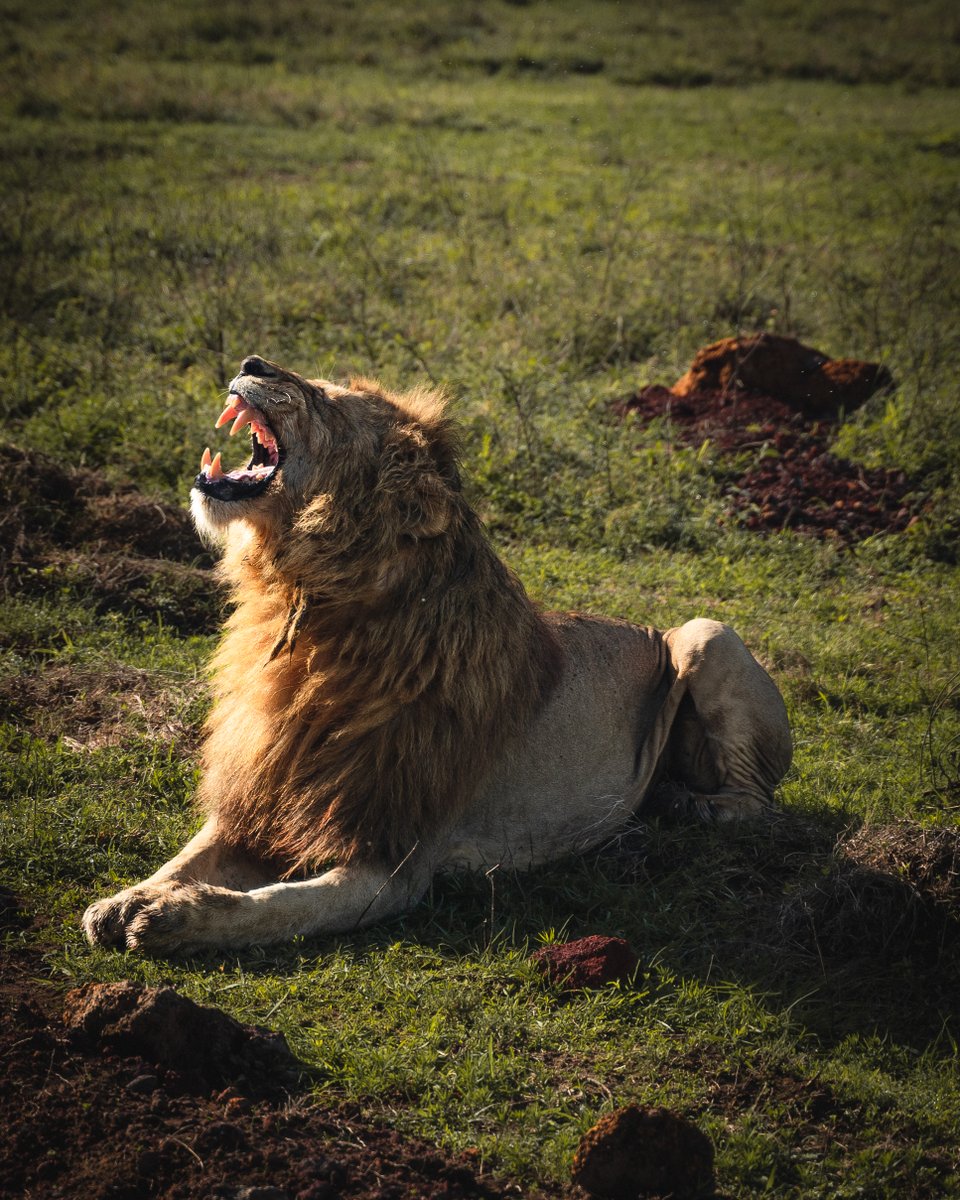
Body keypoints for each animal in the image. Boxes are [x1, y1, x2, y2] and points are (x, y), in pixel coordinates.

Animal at [82, 355, 792, 955]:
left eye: (330, 401)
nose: (253, 362)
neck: (300, 613)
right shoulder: (258, 791)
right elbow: (187, 856)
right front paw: (123, 900)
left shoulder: (394, 861)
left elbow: (272, 907)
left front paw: (174, 917)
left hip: (706, 634)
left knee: (757, 803)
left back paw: (689, 805)